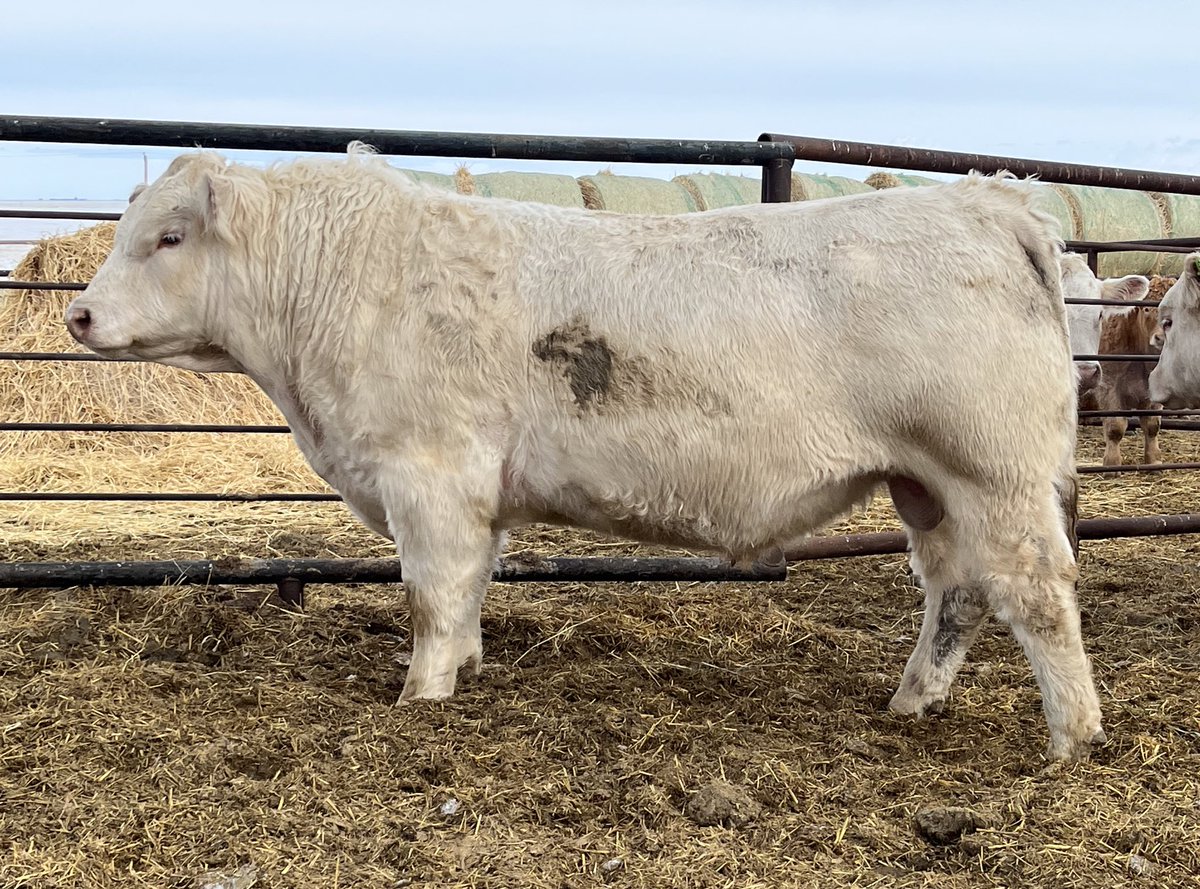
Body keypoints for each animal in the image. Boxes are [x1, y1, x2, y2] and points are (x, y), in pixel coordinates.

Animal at [64, 147, 1104, 760]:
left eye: (168, 236)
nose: (76, 314)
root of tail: (989, 203)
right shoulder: (474, 494)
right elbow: (471, 590)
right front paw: (468, 672)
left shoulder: (429, 476)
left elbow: (431, 596)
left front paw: (419, 700)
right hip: (925, 484)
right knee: (957, 591)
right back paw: (910, 703)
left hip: (994, 473)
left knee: (1039, 590)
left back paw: (1073, 736)